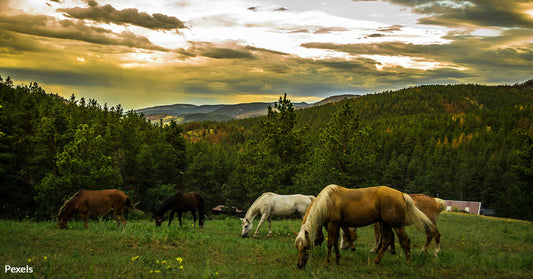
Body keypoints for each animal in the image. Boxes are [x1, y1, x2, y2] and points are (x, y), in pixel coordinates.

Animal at [294, 186, 434, 270]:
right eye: (297, 247)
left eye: (305, 247)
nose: (299, 265)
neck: (328, 202)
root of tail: (401, 194)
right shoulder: (336, 225)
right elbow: (335, 243)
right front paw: (338, 260)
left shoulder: (332, 224)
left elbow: (330, 243)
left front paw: (327, 262)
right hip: (385, 223)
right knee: (387, 240)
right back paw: (376, 261)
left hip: (396, 225)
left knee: (405, 240)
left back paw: (408, 263)